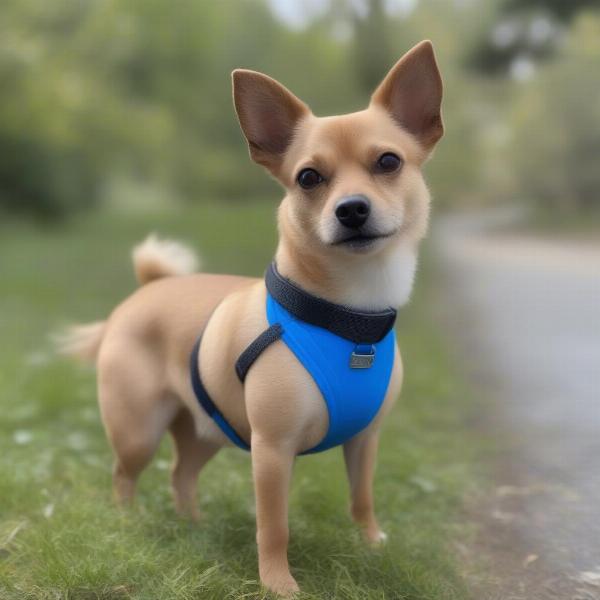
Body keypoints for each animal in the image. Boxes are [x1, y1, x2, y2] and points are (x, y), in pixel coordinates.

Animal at [62, 41, 440, 596]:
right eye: (308, 178)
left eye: (389, 162)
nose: (351, 208)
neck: (350, 319)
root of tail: (148, 289)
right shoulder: (272, 450)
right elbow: (274, 525)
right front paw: (278, 584)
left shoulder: (365, 442)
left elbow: (362, 498)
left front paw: (371, 545)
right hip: (139, 430)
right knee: (124, 474)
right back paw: (129, 524)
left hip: (205, 429)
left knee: (181, 473)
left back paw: (194, 527)